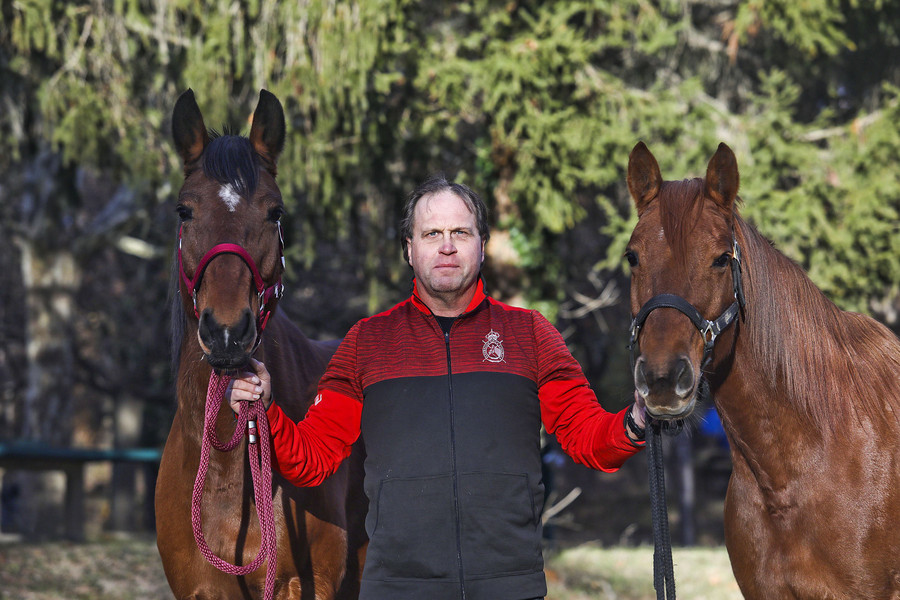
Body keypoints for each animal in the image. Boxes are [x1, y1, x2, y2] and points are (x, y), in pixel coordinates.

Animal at [156, 89, 368, 600]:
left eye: (275, 212)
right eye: (184, 211)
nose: (227, 331)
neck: (228, 475)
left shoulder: (304, 584)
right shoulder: (203, 588)